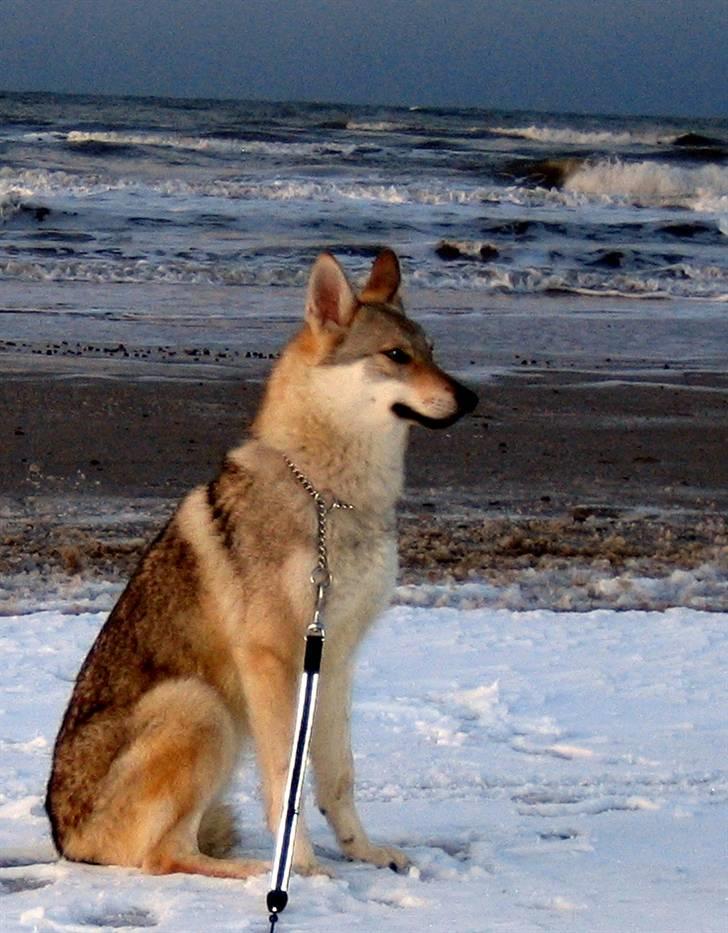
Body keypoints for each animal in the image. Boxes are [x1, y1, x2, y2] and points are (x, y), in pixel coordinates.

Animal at [45, 248, 478, 872]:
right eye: (397, 356)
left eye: (432, 352)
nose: (471, 398)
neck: (329, 497)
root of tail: (66, 843)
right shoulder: (272, 659)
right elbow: (284, 778)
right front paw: (303, 869)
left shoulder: (336, 658)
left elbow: (337, 778)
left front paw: (363, 852)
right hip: (201, 707)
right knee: (164, 857)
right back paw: (252, 872)